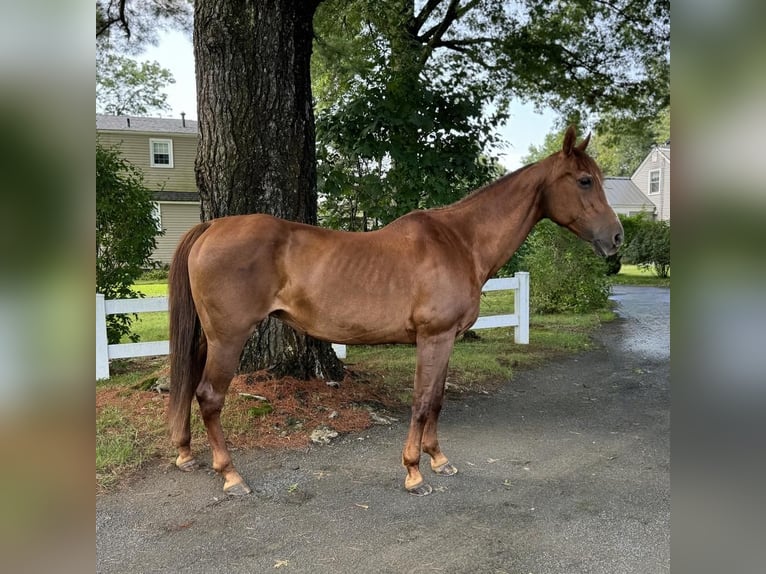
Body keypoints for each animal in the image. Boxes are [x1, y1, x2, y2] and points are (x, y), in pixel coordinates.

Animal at [168, 128, 624, 498]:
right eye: (585, 181)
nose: (617, 238)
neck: (460, 241)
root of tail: (211, 227)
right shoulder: (433, 337)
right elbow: (421, 401)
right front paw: (414, 472)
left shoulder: (447, 339)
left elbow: (437, 399)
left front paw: (439, 459)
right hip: (229, 337)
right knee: (209, 396)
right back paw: (231, 476)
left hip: (208, 336)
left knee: (188, 385)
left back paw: (186, 454)